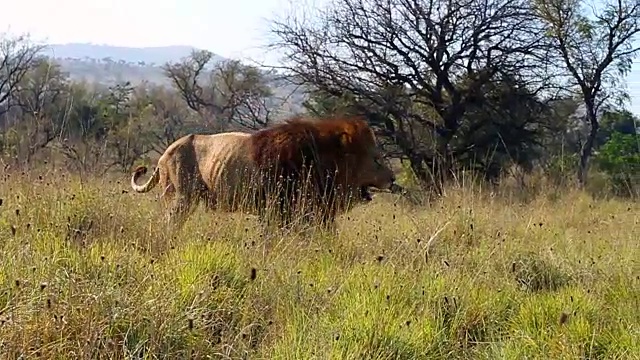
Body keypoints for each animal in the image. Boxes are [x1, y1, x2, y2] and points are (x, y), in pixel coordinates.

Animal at [130, 116, 400, 233]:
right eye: (376, 159)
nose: (393, 178)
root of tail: (165, 153)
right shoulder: (276, 208)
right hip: (181, 197)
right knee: (168, 222)